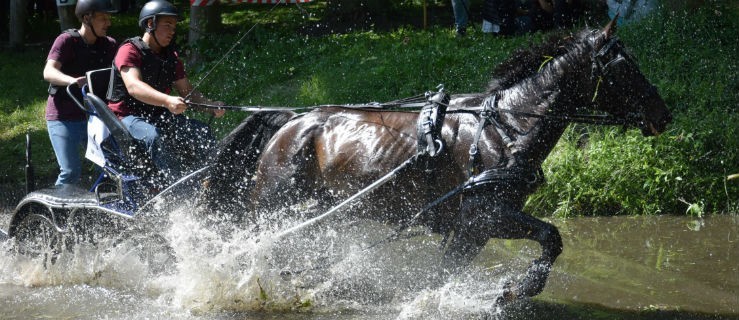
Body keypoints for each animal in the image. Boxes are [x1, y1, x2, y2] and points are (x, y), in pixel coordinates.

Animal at [201, 20, 672, 302]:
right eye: (624, 67)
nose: (663, 115)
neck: (506, 128)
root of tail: (291, 122)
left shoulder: (476, 225)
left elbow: (448, 272)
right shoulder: (483, 217)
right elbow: (550, 237)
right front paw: (518, 289)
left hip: (324, 209)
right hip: (271, 204)